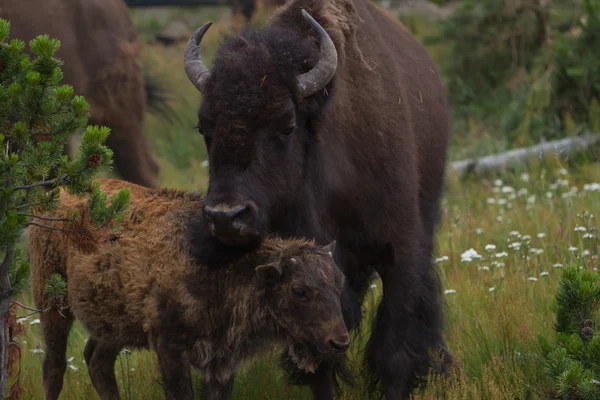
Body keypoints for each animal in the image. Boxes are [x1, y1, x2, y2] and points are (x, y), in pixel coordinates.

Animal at [29, 179, 346, 400]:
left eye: (339, 281)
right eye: (299, 290)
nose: (339, 342)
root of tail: (52, 196)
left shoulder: (222, 361)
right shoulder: (169, 346)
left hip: (114, 323)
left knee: (97, 361)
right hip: (51, 300)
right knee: (54, 366)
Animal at [185, 0, 452, 396]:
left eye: (287, 126)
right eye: (205, 127)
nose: (225, 217)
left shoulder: (399, 254)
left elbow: (395, 352)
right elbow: (321, 362)